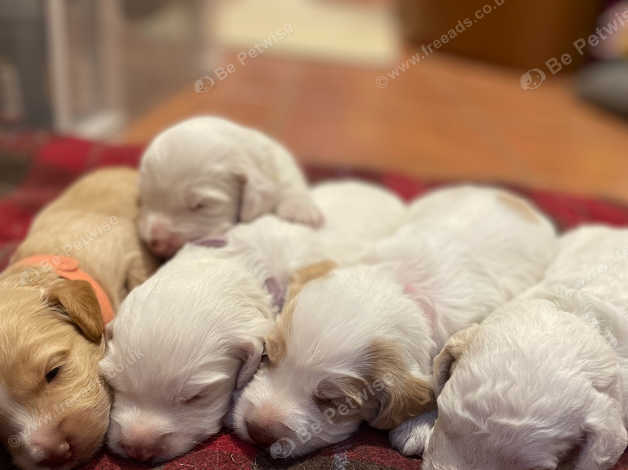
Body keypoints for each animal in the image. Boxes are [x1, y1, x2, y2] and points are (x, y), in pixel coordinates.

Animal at [137, 116, 324, 258]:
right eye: (144, 202)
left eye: (201, 205)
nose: (156, 240)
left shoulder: (275, 156)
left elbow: (288, 178)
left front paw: (301, 211)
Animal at [231, 185, 556, 458]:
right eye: (267, 357)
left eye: (332, 402)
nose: (258, 430)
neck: (404, 285)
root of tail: (509, 195)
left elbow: (438, 380)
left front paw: (416, 429)